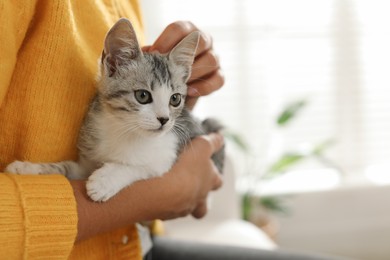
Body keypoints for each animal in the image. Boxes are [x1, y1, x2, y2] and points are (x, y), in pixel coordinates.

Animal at [4, 18, 224, 202]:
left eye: (175, 99)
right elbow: (67, 167)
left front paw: (105, 180)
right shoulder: (86, 162)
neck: (122, 129)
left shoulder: (165, 158)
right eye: (143, 96)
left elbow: (138, 167)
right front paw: (29, 168)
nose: (164, 119)